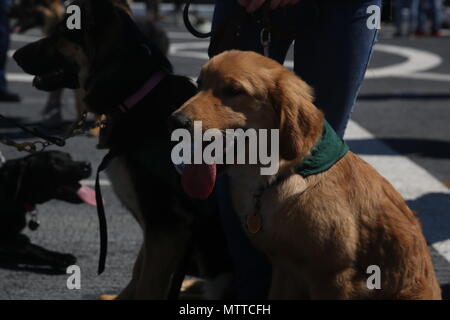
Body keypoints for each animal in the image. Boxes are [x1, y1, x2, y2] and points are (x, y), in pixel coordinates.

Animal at [14, 0, 232, 300]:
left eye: (60, 33)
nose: (14, 54)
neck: (134, 94)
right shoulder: (156, 232)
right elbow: (137, 274)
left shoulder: (166, 227)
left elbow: (147, 285)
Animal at [171, 50, 440, 300]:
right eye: (199, 84)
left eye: (233, 90)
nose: (175, 120)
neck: (283, 174)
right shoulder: (284, 270)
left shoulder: (333, 278)